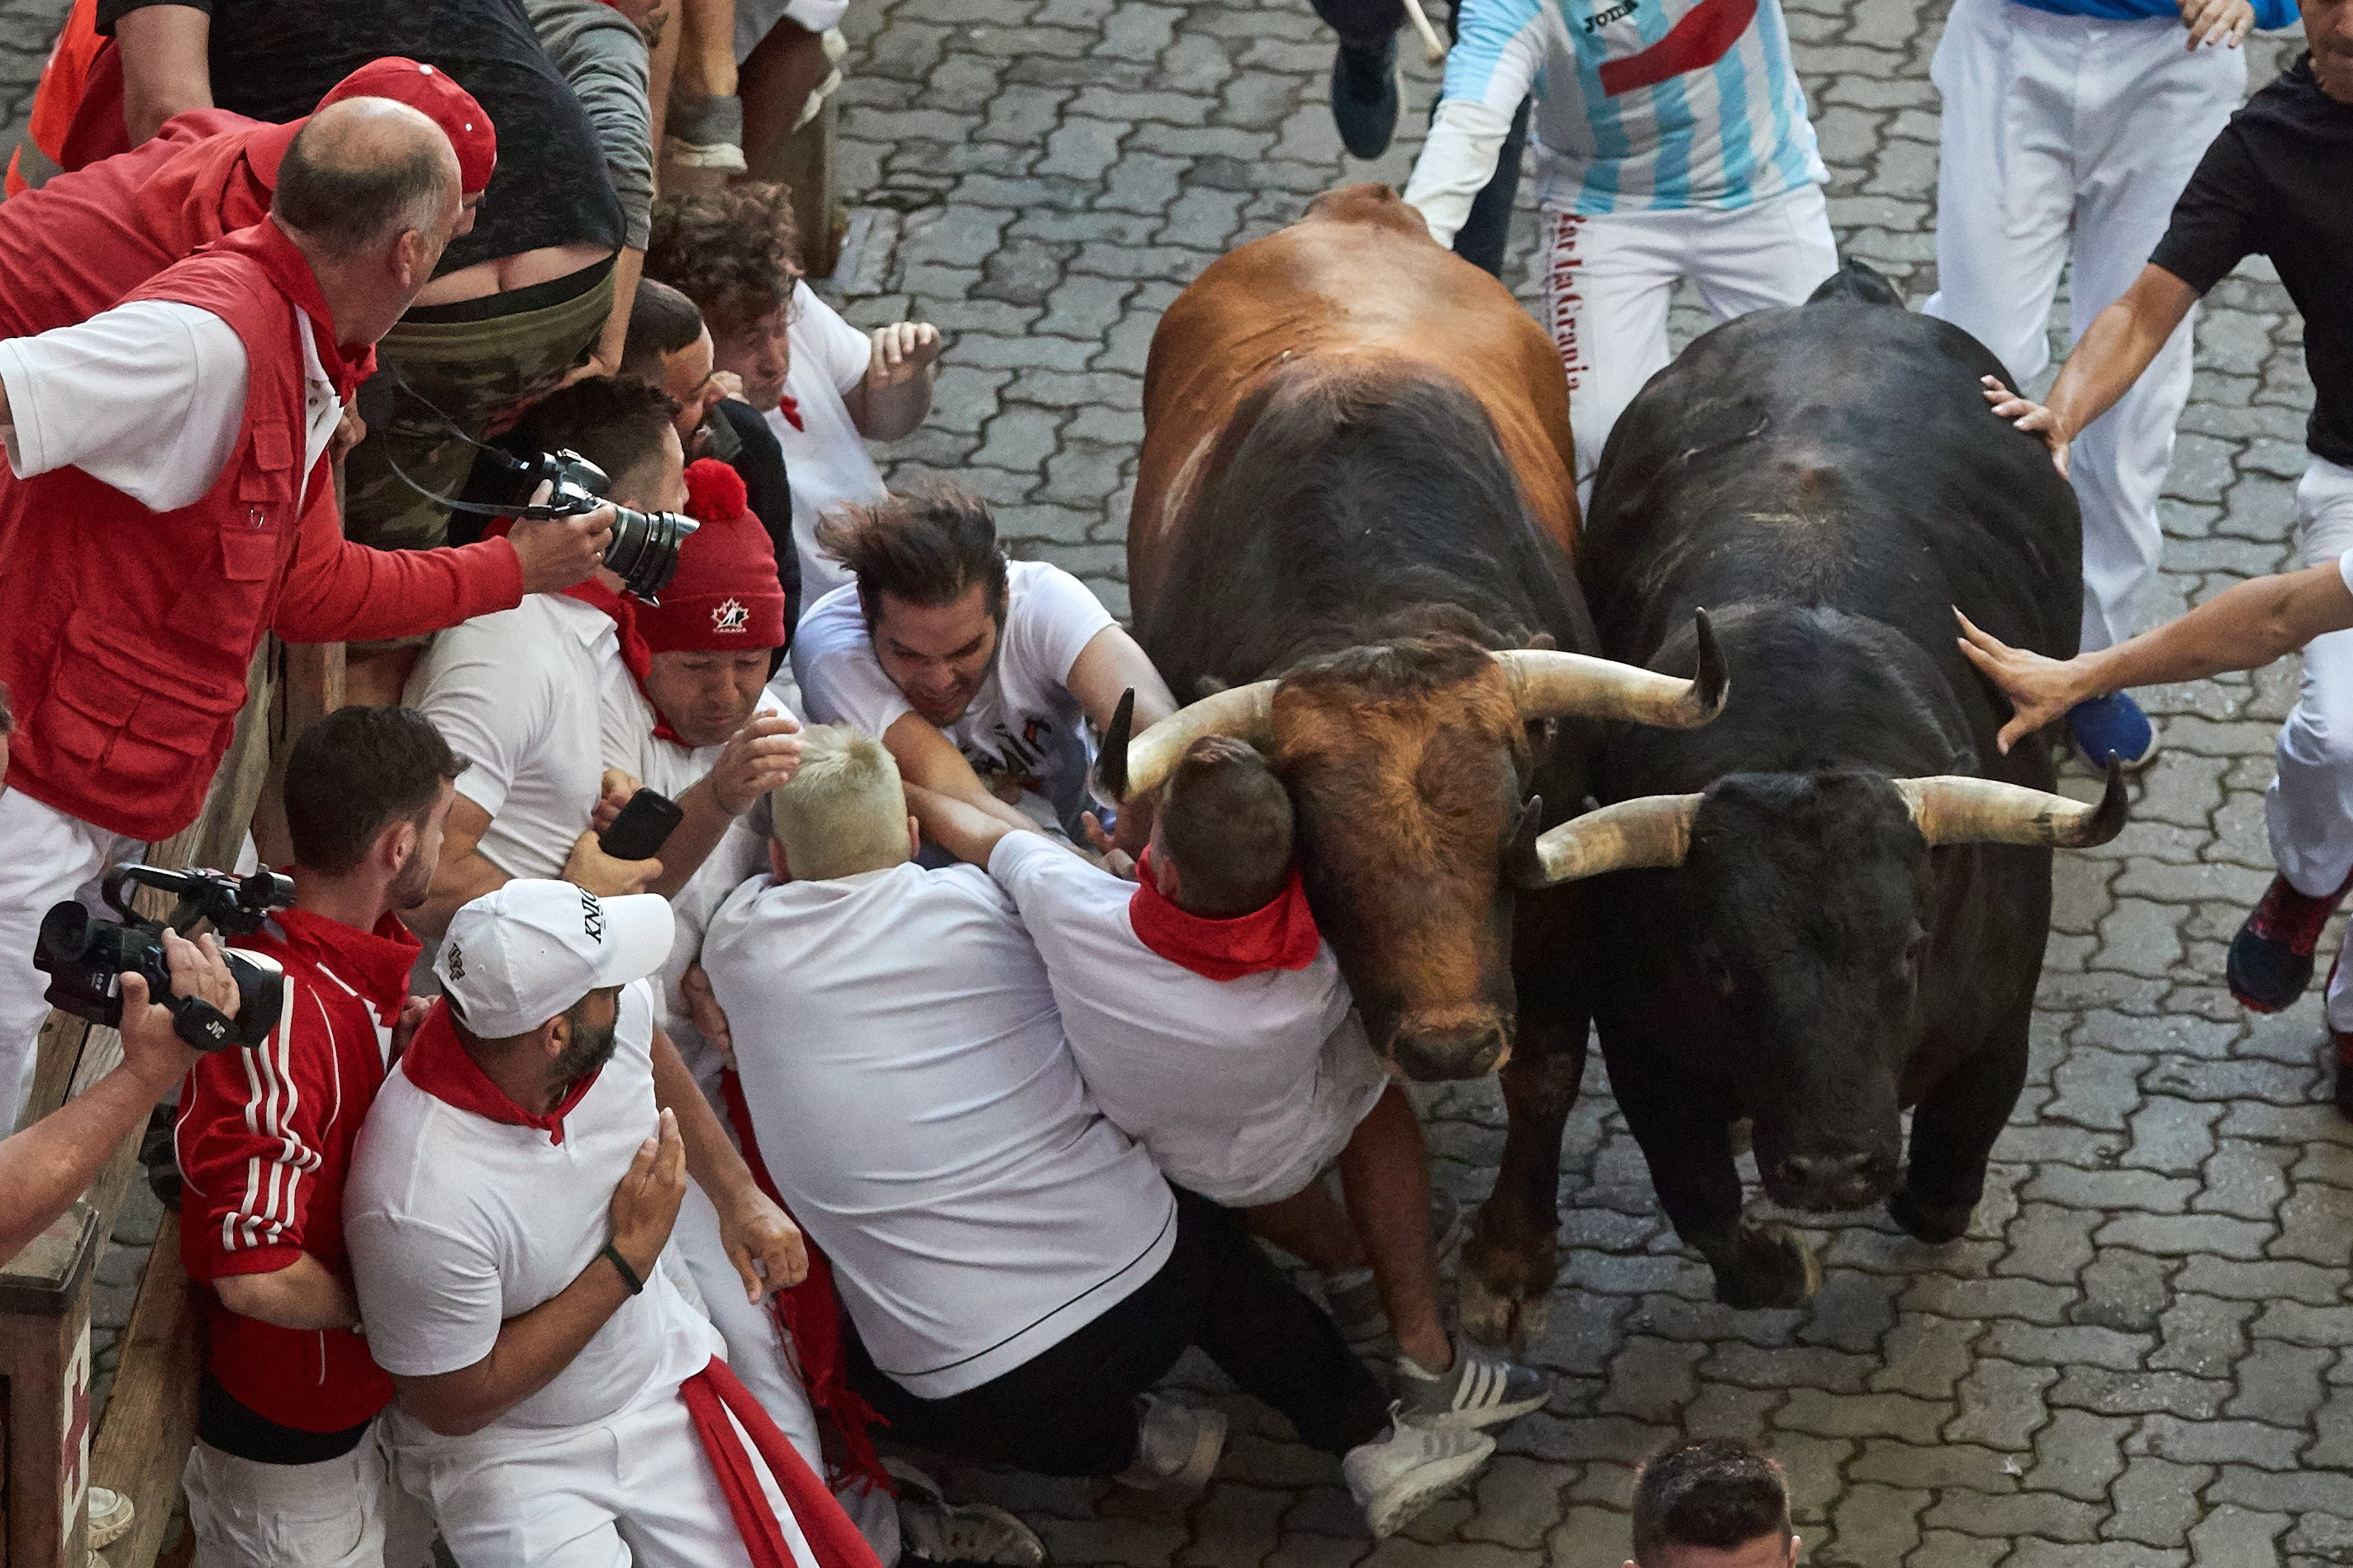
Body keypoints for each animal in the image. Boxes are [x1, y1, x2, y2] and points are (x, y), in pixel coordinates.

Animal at [1100, 183, 1732, 1328]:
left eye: (1507, 836)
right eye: (1327, 862)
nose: (1448, 1043)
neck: (1377, 600)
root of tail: (1357, 211)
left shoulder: (1561, 905)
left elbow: (1546, 1068)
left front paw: (1511, 1258)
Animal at [1581, 262, 2136, 1300]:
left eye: (1909, 950)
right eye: (1719, 962)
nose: (1834, 1168)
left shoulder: (1997, 1028)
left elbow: (1945, 1175)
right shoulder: (1636, 1036)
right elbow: (1699, 1199)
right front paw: (1773, 1261)